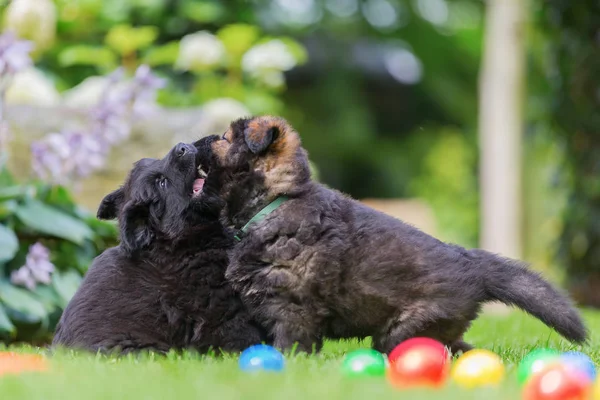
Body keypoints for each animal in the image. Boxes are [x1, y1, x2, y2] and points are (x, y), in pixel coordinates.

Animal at [196, 117, 584, 354]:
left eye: (225, 139)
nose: (193, 144)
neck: (274, 202)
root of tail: (473, 264)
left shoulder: (293, 310)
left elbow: (288, 346)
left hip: (404, 329)